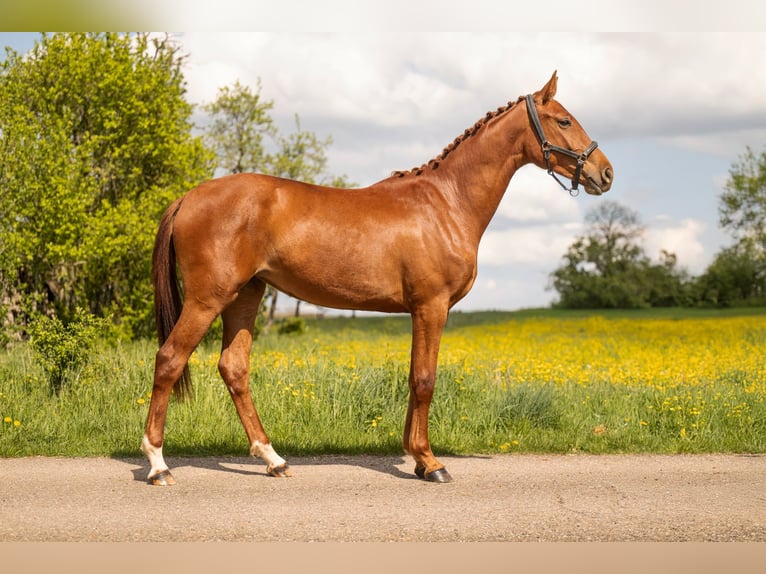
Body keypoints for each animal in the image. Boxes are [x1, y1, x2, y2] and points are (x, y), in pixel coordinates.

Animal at [141, 71, 613, 485]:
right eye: (564, 120)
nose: (605, 173)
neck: (446, 202)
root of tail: (187, 198)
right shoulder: (431, 306)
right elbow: (425, 380)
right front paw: (431, 463)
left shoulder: (418, 311)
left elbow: (413, 378)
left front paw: (417, 457)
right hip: (208, 299)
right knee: (169, 360)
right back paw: (158, 464)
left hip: (245, 295)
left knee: (234, 368)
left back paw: (274, 460)